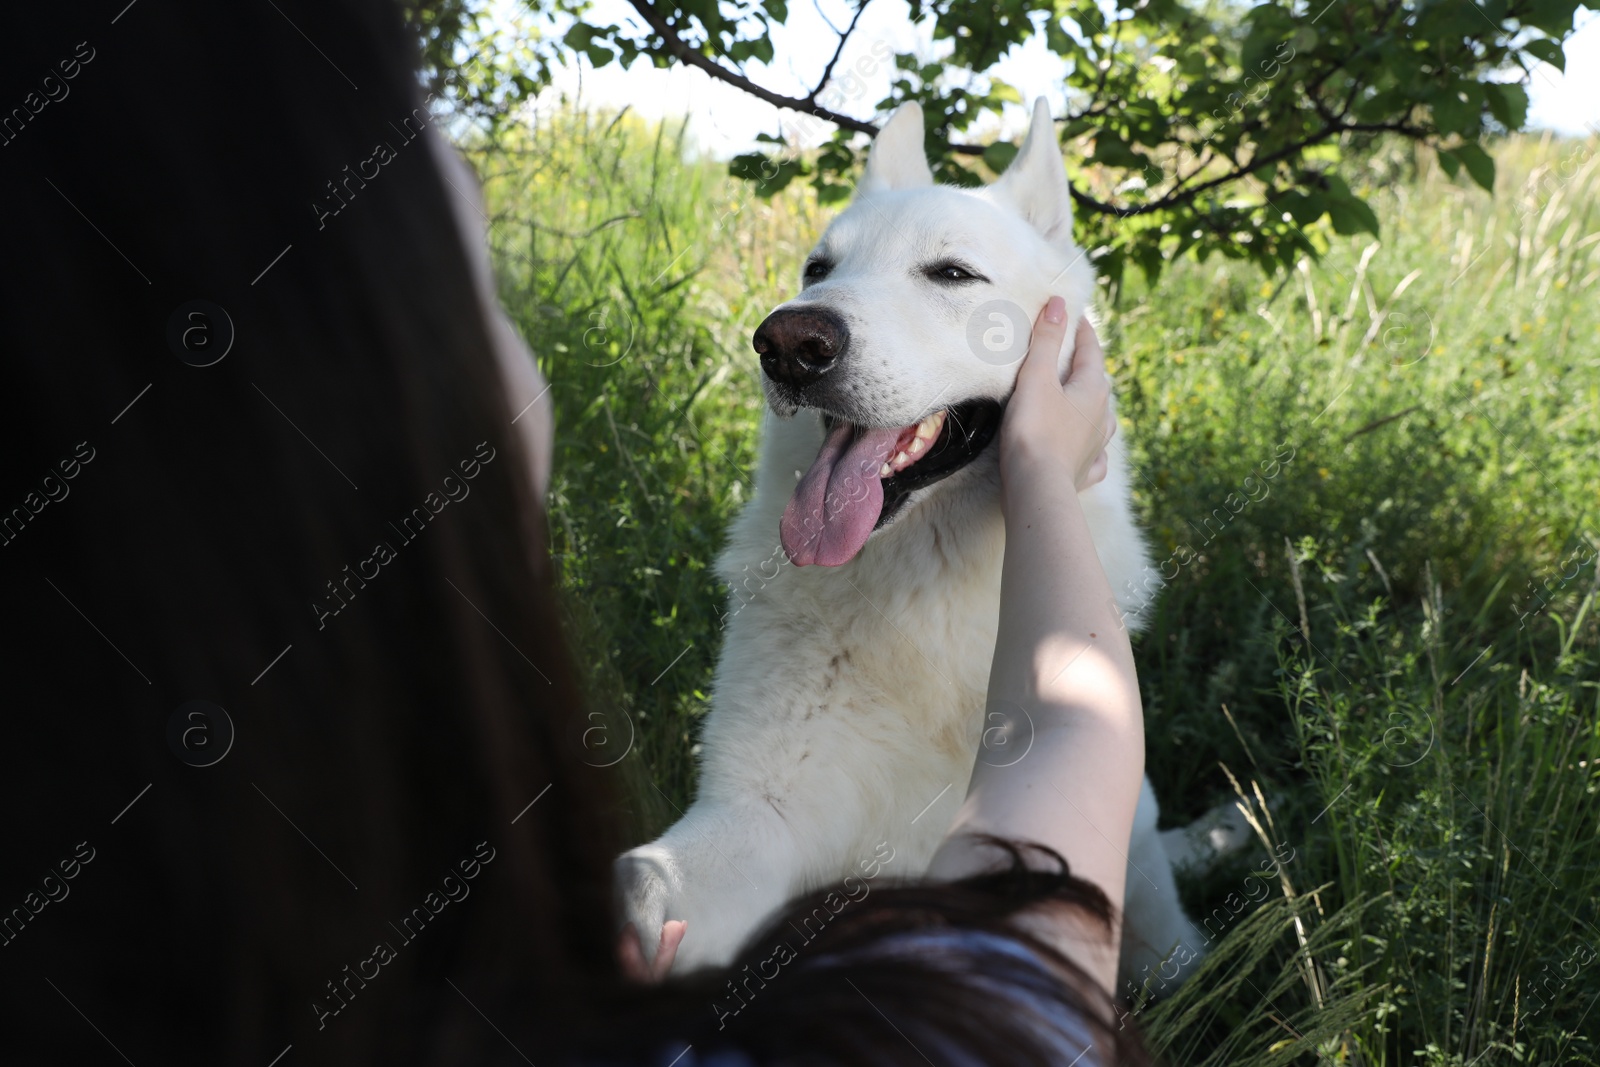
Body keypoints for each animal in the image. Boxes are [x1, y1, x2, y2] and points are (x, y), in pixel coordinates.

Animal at [620, 99, 1209, 985]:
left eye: (952, 275)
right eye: (817, 269)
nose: (788, 343)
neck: (926, 589)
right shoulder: (756, 817)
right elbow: (652, 879)